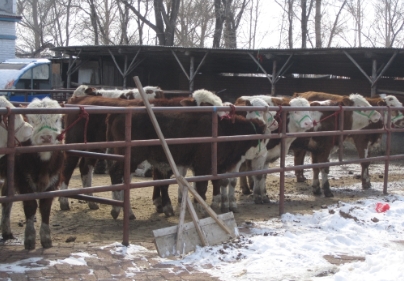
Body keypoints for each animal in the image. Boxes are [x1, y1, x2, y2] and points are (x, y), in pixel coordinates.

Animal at [0, 97, 63, 249]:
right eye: (32, 120)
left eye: (57, 119)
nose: (46, 137)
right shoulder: (23, 180)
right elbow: (30, 205)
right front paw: (29, 238)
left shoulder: (54, 179)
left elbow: (45, 206)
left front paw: (46, 238)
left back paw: (6, 232)